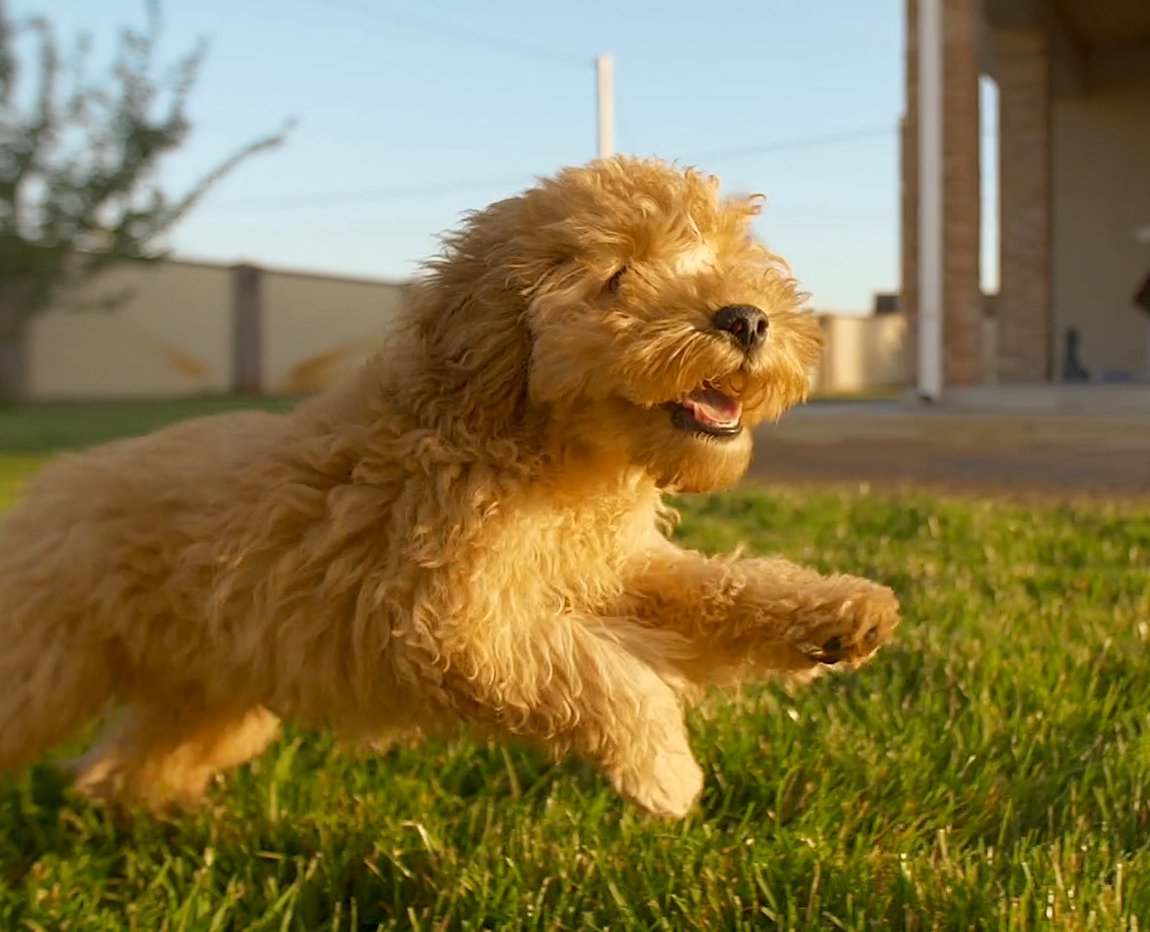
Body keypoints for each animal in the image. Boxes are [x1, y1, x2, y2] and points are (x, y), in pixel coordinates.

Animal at [0, 157, 897, 814]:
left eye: (726, 259)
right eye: (618, 278)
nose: (747, 319)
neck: (527, 444)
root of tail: (51, 484)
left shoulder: (610, 570)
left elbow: (713, 589)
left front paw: (841, 612)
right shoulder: (445, 621)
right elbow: (597, 672)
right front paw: (666, 772)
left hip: (211, 690)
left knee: (137, 760)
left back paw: (155, 816)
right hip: (47, 663)